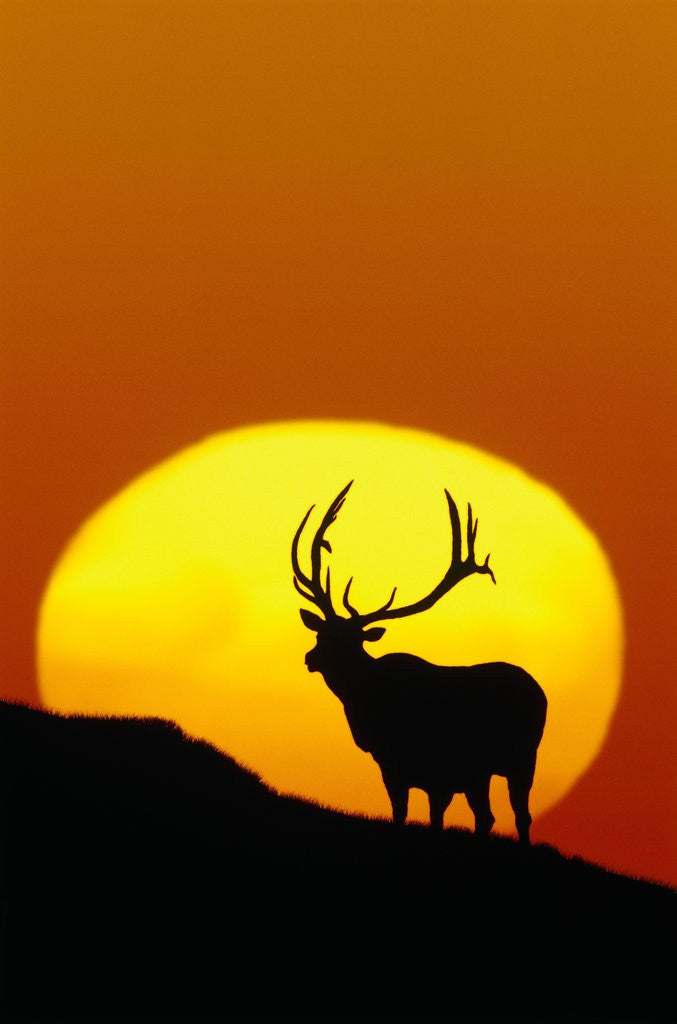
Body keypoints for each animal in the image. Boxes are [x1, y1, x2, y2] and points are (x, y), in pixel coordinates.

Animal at [292, 481, 547, 844]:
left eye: (350, 641)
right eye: (320, 633)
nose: (310, 658)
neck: (367, 705)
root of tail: (540, 691)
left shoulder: (423, 768)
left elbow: (410, 816)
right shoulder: (421, 771)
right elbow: (424, 817)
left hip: (522, 757)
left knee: (518, 815)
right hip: (485, 770)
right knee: (491, 816)